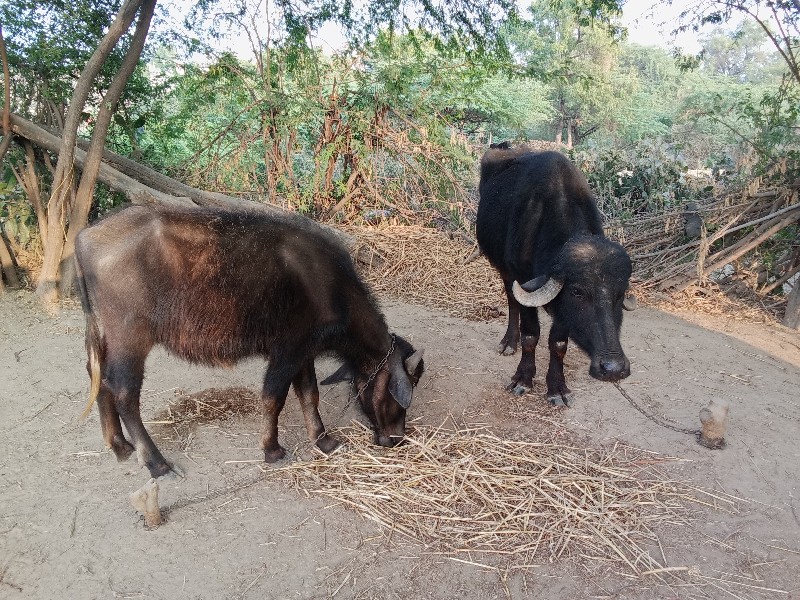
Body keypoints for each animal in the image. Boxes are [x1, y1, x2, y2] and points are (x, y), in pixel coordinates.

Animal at [75, 204, 424, 476]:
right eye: (405, 387)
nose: (396, 439)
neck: (330, 288)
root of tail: (86, 236)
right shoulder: (286, 352)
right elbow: (273, 398)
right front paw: (272, 449)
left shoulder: (303, 352)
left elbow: (309, 395)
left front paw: (324, 440)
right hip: (130, 338)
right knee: (124, 393)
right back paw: (156, 463)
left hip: (103, 334)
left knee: (98, 378)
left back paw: (120, 446)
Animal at [476, 147, 636, 406]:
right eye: (578, 291)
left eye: (620, 294)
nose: (613, 368)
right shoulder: (523, 278)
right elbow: (531, 334)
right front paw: (523, 378)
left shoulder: (562, 310)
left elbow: (558, 343)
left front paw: (557, 388)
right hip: (503, 268)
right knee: (511, 300)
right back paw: (509, 342)